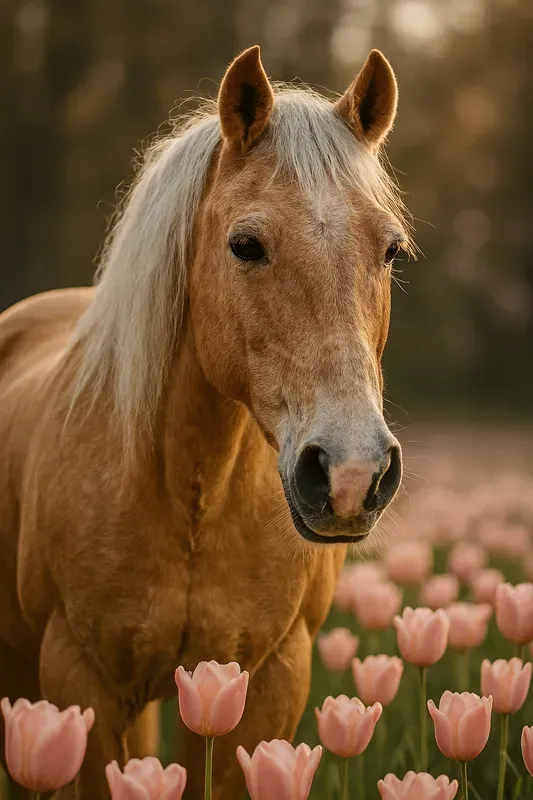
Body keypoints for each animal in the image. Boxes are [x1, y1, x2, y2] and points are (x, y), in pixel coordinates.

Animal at [0, 46, 412, 798]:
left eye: (390, 250)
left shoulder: (264, 683)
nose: (350, 474)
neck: (195, 492)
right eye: (245, 244)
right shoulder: (79, 683)